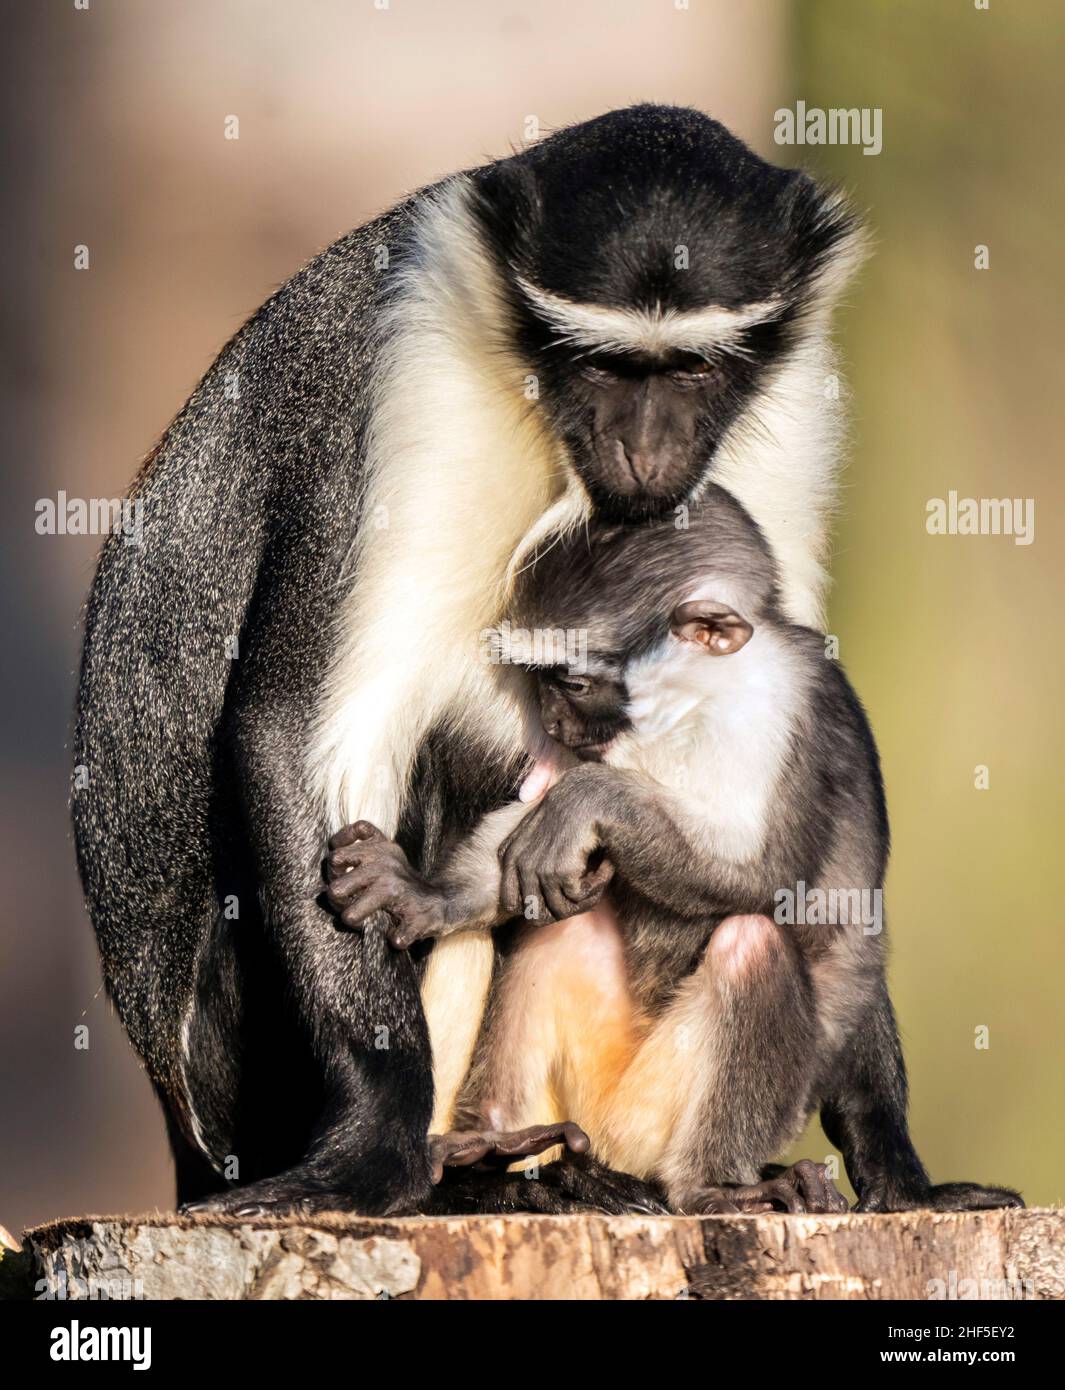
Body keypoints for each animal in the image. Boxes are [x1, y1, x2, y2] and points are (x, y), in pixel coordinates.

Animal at [73, 104, 872, 1216]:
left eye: (693, 370)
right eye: (601, 363)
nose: (646, 450)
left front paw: (903, 1168)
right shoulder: (400, 383)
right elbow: (289, 730)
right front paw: (373, 1145)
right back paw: (462, 1169)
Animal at [326, 485, 1023, 1215]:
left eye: (571, 681)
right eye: (538, 679)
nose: (550, 723)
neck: (690, 711)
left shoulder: (789, 707)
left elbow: (772, 880)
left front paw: (592, 797)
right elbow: (529, 843)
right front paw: (423, 894)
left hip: (661, 1113)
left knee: (751, 943)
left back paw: (707, 1184)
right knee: (563, 924)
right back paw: (494, 1148)